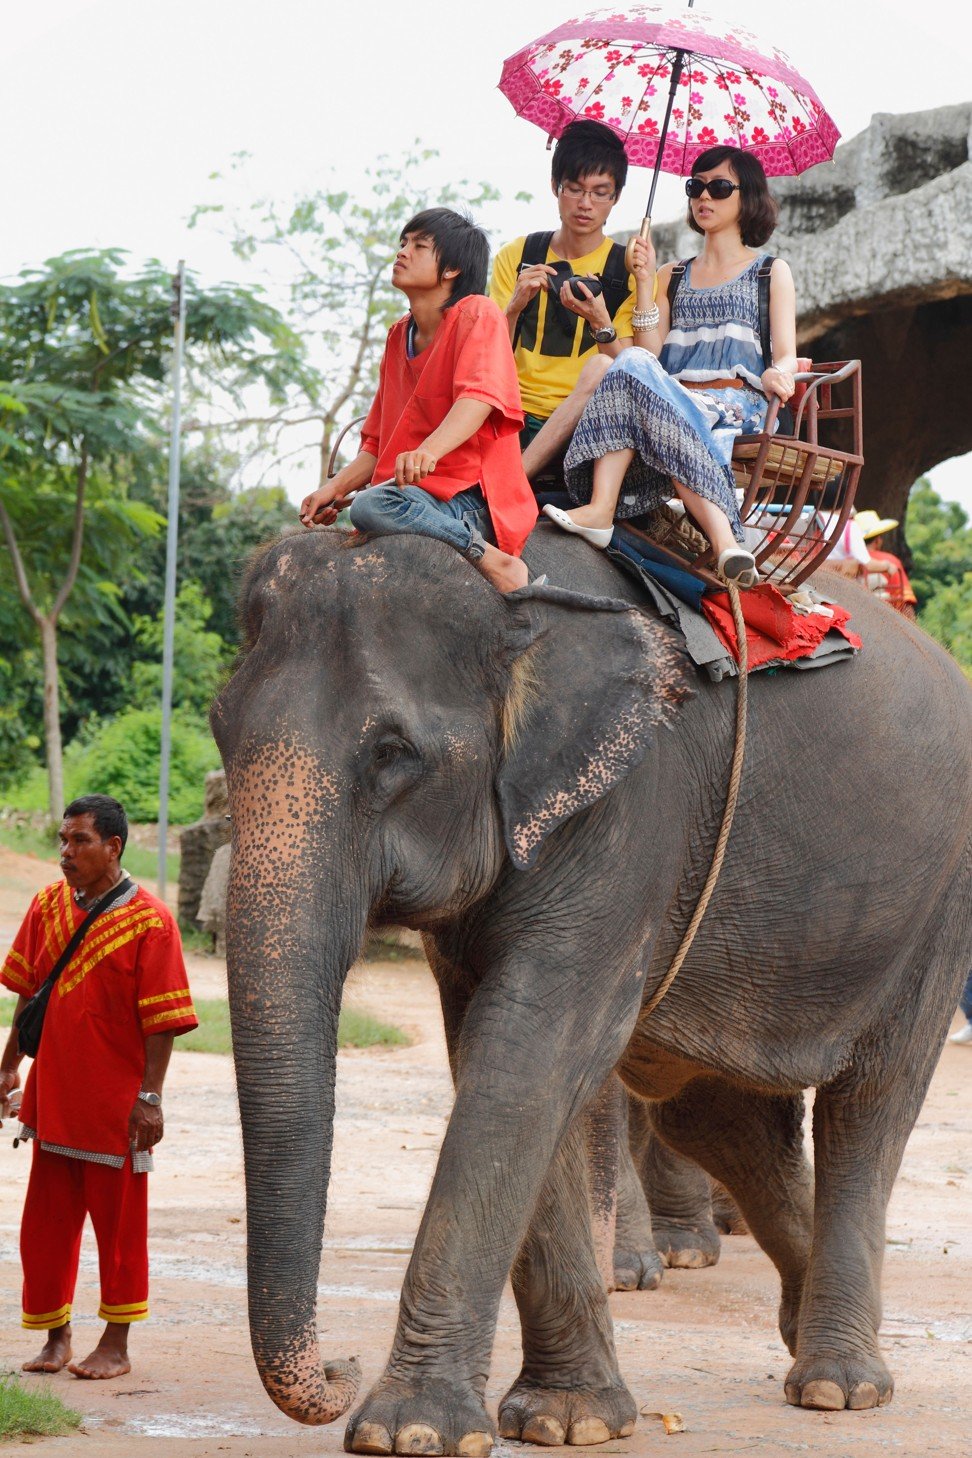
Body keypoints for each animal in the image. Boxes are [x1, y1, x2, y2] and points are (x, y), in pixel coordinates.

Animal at [212, 527, 972, 1458]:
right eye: (218, 730)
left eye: (393, 754)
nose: (337, 1368)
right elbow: (498, 1052)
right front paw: (567, 1420)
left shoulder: (631, 807)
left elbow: (535, 1046)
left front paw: (410, 1432)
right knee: (718, 1117)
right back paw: (809, 1330)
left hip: (940, 903)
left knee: (871, 1102)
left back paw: (840, 1386)